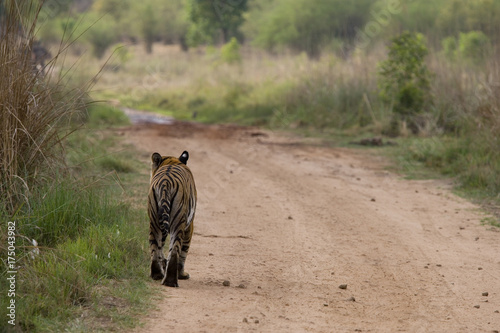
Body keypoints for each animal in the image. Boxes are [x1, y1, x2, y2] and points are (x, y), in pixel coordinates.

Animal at [147, 150, 196, 286]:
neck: (172, 161)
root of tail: (165, 182)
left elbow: (160, 248)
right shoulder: (189, 226)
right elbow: (184, 250)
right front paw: (183, 275)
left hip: (154, 222)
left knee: (154, 247)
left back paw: (157, 275)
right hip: (177, 222)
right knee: (175, 250)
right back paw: (171, 281)